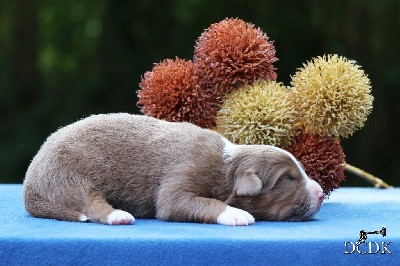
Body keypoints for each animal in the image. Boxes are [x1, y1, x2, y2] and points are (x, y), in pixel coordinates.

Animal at [22, 113, 324, 225]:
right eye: (288, 179)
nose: (321, 193)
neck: (226, 165)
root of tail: (29, 186)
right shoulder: (182, 176)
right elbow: (189, 202)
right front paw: (236, 213)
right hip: (67, 176)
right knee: (91, 205)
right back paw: (119, 216)